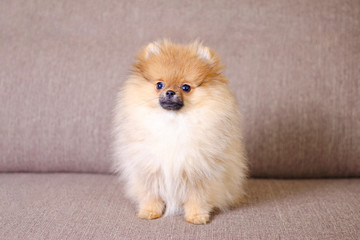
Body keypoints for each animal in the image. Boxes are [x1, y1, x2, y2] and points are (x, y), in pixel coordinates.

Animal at [113, 39, 248, 225]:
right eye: (159, 85)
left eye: (186, 87)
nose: (170, 92)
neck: (173, 122)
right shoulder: (149, 167)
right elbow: (151, 194)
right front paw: (149, 211)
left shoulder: (199, 171)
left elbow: (197, 197)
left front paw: (197, 215)